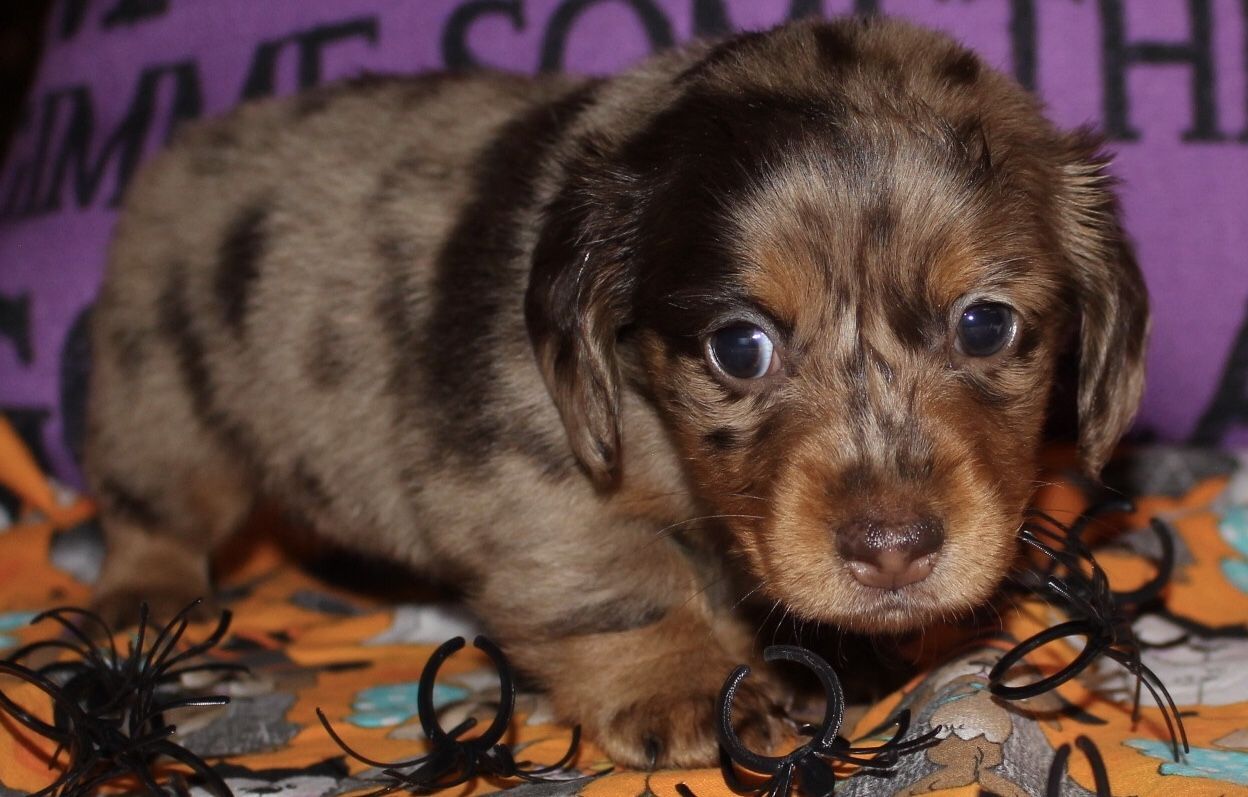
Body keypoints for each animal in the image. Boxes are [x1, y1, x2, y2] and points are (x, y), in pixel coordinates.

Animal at [87, 17, 1148, 768]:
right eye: (739, 347)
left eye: (985, 325)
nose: (893, 550)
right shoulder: (526, 476)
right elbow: (622, 583)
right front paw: (689, 685)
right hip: (161, 398)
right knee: (152, 512)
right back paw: (145, 598)